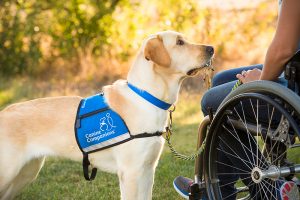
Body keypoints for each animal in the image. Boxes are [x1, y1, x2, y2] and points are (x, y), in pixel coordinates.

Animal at [0, 30, 213, 199]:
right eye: (180, 42)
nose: (211, 48)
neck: (147, 97)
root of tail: (4, 112)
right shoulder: (131, 173)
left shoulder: (147, 170)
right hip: (9, 172)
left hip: (26, 173)